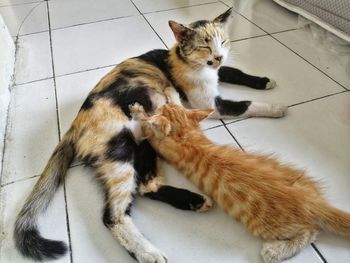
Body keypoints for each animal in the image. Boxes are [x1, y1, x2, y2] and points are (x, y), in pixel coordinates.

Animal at [14, 7, 288, 262]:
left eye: (223, 41)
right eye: (203, 46)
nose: (218, 56)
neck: (183, 60)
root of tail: (72, 127)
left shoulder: (219, 72)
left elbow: (233, 71)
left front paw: (264, 81)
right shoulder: (210, 104)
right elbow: (244, 105)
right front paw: (276, 108)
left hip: (145, 143)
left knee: (146, 185)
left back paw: (192, 201)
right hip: (120, 152)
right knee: (113, 215)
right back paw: (148, 252)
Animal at [131, 103, 350, 263]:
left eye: (164, 106)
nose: (162, 102)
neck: (186, 135)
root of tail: (311, 201)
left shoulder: (162, 146)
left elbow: (146, 129)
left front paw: (139, 112)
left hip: (268, 226)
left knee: (310, 232)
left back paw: (274, 251)